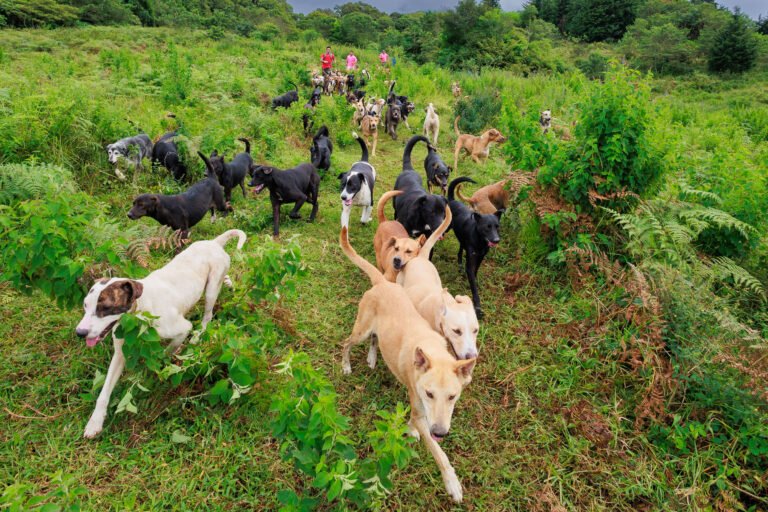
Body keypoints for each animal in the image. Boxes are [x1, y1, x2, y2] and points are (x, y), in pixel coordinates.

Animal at [75, 230, 246, 438]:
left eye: (106, 308)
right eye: (85, 305)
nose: (80, 332)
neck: (141, 308)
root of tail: (214, 243)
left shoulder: (182, 328)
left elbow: (167, 352)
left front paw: (159, 365)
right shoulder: (120, 353)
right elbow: (104, 392)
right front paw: (95, 422)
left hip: (211, 289)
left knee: (207, 315)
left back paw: (199, 335)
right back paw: (229, 282)